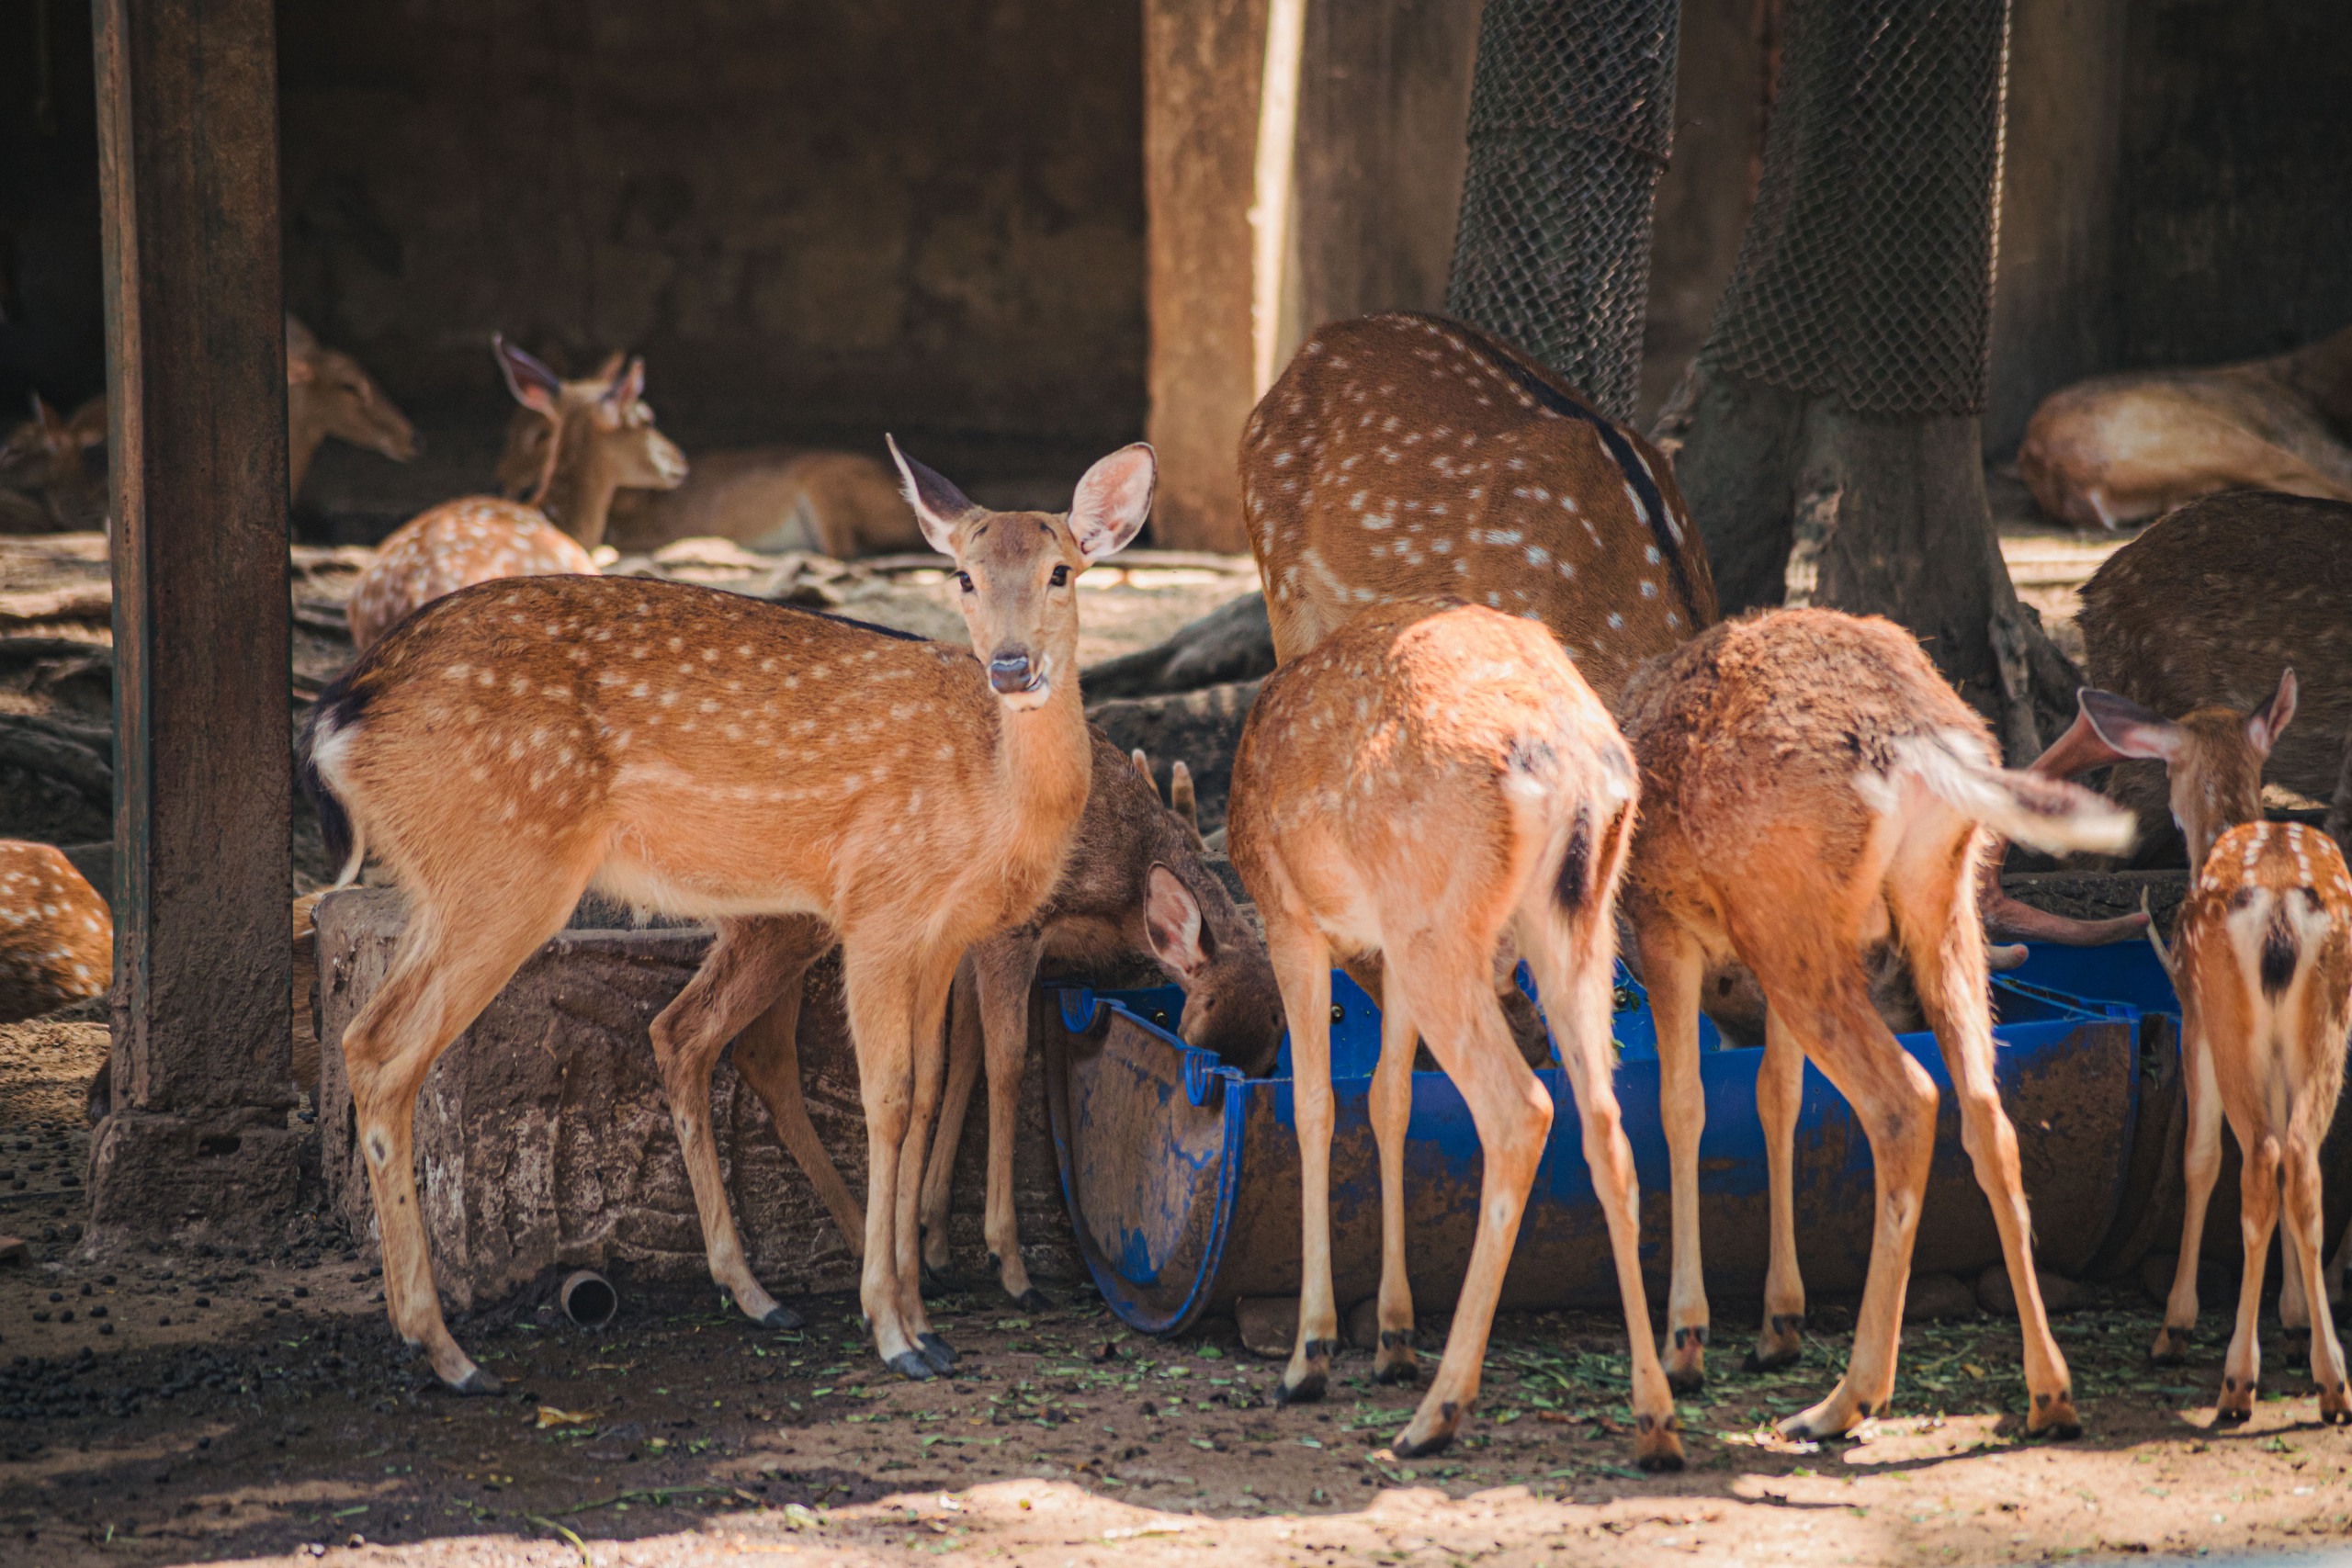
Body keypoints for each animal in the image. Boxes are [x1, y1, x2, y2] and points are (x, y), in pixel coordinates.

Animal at [308, 434, 1152, 1392]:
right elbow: (888, 1098)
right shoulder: (880, 906)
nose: (1011, 667)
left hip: (447, 878)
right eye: (965, 577)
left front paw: (927, 1317)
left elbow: (932, 1089)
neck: (993, 796)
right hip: (504, 865)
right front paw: (896, 1331)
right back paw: (450, 1350)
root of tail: (339, 713)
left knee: (382, 1038)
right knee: (388, 1051)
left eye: (1061, 570)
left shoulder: (942, 935)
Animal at [1232, 597, 1674, 1476]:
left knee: (1524, 1108)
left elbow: (1312, 1105)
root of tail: (1574, 768)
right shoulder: (1385, 948)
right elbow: (1389, 1099)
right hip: (1572, 917)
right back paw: (1656, 1421)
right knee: (1607, 1123)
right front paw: (1393, 1338)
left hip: (1438, 920)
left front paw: (1310, 1355)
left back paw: (1437, 1413)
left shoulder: (1289, 912)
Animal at [1618, 606, 2135, 1438]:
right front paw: (1778, 1325)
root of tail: (1918, 744)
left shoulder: (1665, 924)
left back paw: (1845, 1400)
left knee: (1908, 1099)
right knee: (1988, 1113)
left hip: (1790, 908)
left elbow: (1682, 1106)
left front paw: (1686, 1343)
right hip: (1937, 908)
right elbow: (1777, 1097)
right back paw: (2050, 1394)